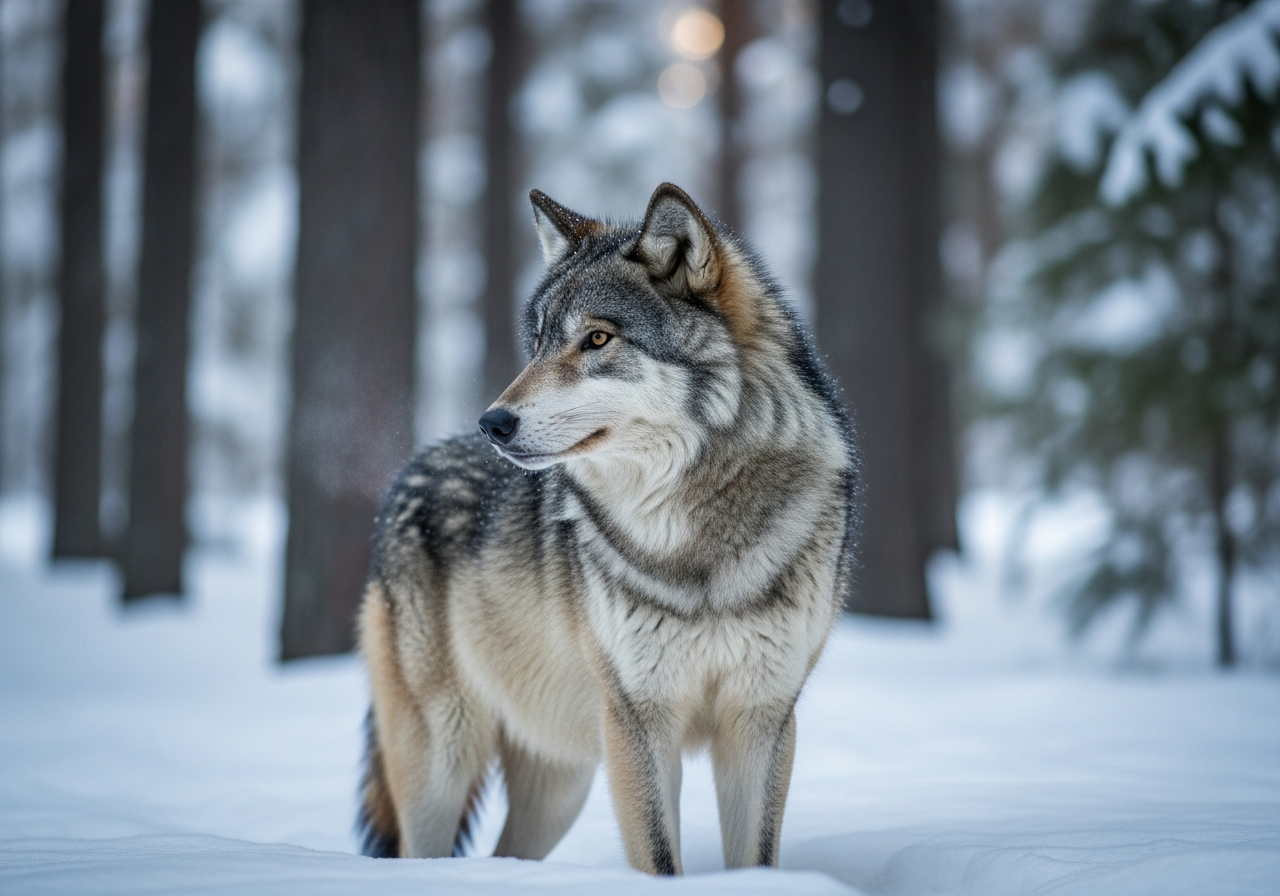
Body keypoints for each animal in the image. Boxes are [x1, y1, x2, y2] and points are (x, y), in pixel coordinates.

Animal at [357, 183, 857, 874]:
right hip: (442, 764)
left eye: (596, 339)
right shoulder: (638, 721)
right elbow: (660, 857)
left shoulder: (761, 720)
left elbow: (755, 858)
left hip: (560, 786)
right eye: (539, 342)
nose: (493, 423)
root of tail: (412, 468)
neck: (694, 536)